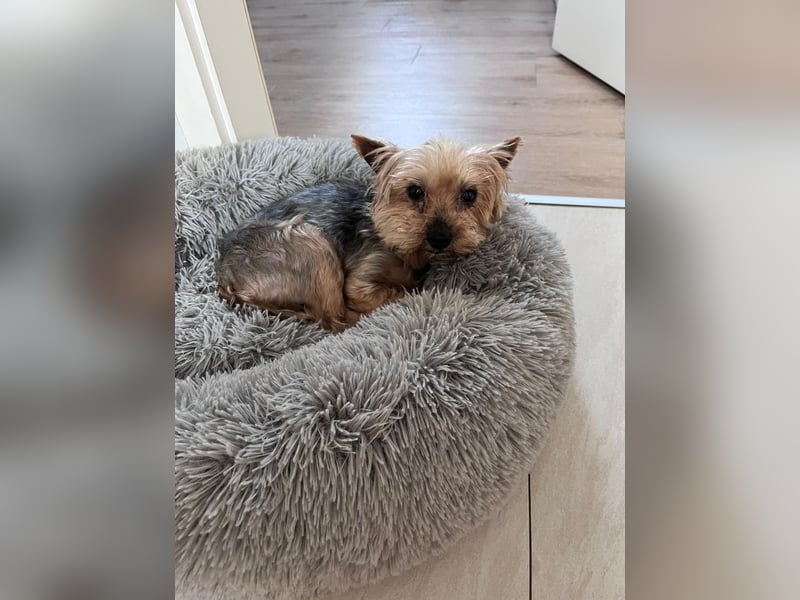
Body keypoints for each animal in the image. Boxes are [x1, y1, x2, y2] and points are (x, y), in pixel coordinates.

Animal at [215, 134, 521, 331]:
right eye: (414, 191)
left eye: (470, 195)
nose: (440, 238)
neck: (407, 250)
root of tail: (226, 276)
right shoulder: (360, 282)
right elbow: (392, 293)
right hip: (310, 244)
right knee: (333, 318)